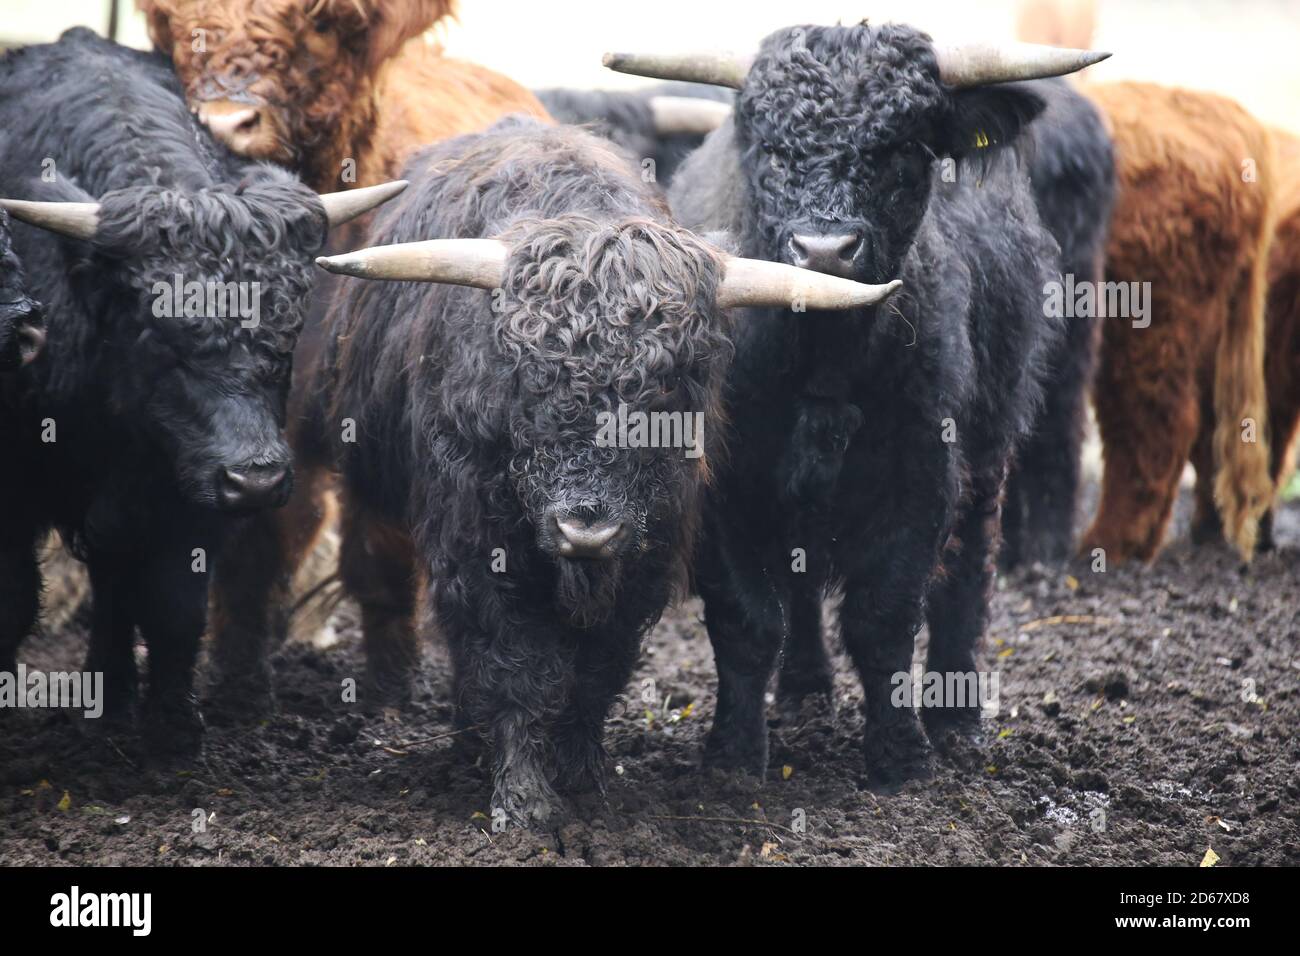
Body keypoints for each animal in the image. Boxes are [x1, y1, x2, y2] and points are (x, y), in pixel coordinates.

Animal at [0, 29, 402, 753]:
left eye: (288, 332)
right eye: (163, 337)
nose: (258, 480)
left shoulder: (191, 491)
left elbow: (173, 607)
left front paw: (174, 729)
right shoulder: (17, 485)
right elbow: (14, 599)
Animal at [258, 117, 897, 824]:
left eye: (666, 389)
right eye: (529, 381)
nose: (585, 527)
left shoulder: (650, 546)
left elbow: (598, 669)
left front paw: (585, 776)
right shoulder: (477, 541)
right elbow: (510, 660)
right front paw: (524, 796)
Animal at [607, 24, 1103, 782]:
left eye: (900, 147)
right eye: (773, 148)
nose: (824, 249)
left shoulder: (922, 471)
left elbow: (885, 616)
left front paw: (902, 756)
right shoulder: (725, 486)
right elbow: (748, 621)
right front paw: (732, 756)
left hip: (990, 446)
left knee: (969, 567)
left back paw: (957, 718)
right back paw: (805, 691)